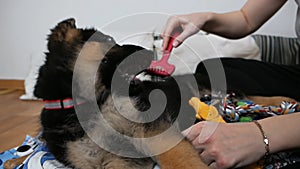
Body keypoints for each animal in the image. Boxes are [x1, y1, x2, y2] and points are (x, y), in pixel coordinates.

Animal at [34, 17, 209, 168]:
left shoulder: (153, 131)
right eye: (109, 40)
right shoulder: (111, 159)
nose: (149, 52)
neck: (92, 103)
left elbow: (180, 159)